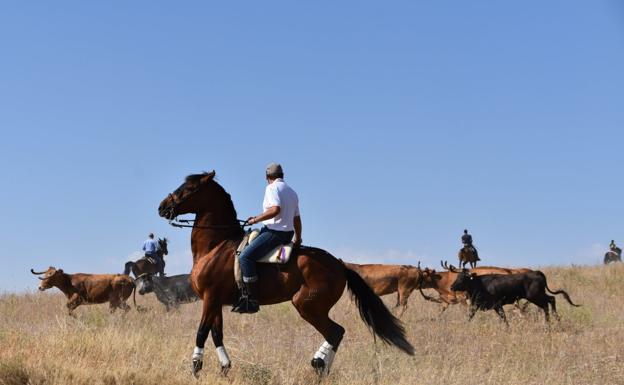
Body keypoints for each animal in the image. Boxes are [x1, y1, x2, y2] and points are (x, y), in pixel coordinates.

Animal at [158, 170, 414, 376]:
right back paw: (322, 367)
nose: (162, 207)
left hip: (306, 304)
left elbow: (201, 332)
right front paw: (224, 368)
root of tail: (340, 265)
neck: (216, 245)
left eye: (188, 189)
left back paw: (319, 364)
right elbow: (216, 334)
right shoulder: (215, 301)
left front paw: (196, 367)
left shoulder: (210, 298)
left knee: (335, 332)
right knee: (336, 333)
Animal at [448, 270, 580, 324]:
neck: (479, 284)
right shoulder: (476, 306)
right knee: (550, 300)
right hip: (538, 295)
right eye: (457, 277)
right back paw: (553, 321)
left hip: (535, 296)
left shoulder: (497, 305)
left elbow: (504, 318)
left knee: (549, 302)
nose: (451, 287)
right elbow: (469, 316)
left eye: (463, 278)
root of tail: (537, 272)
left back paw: (551, 321)